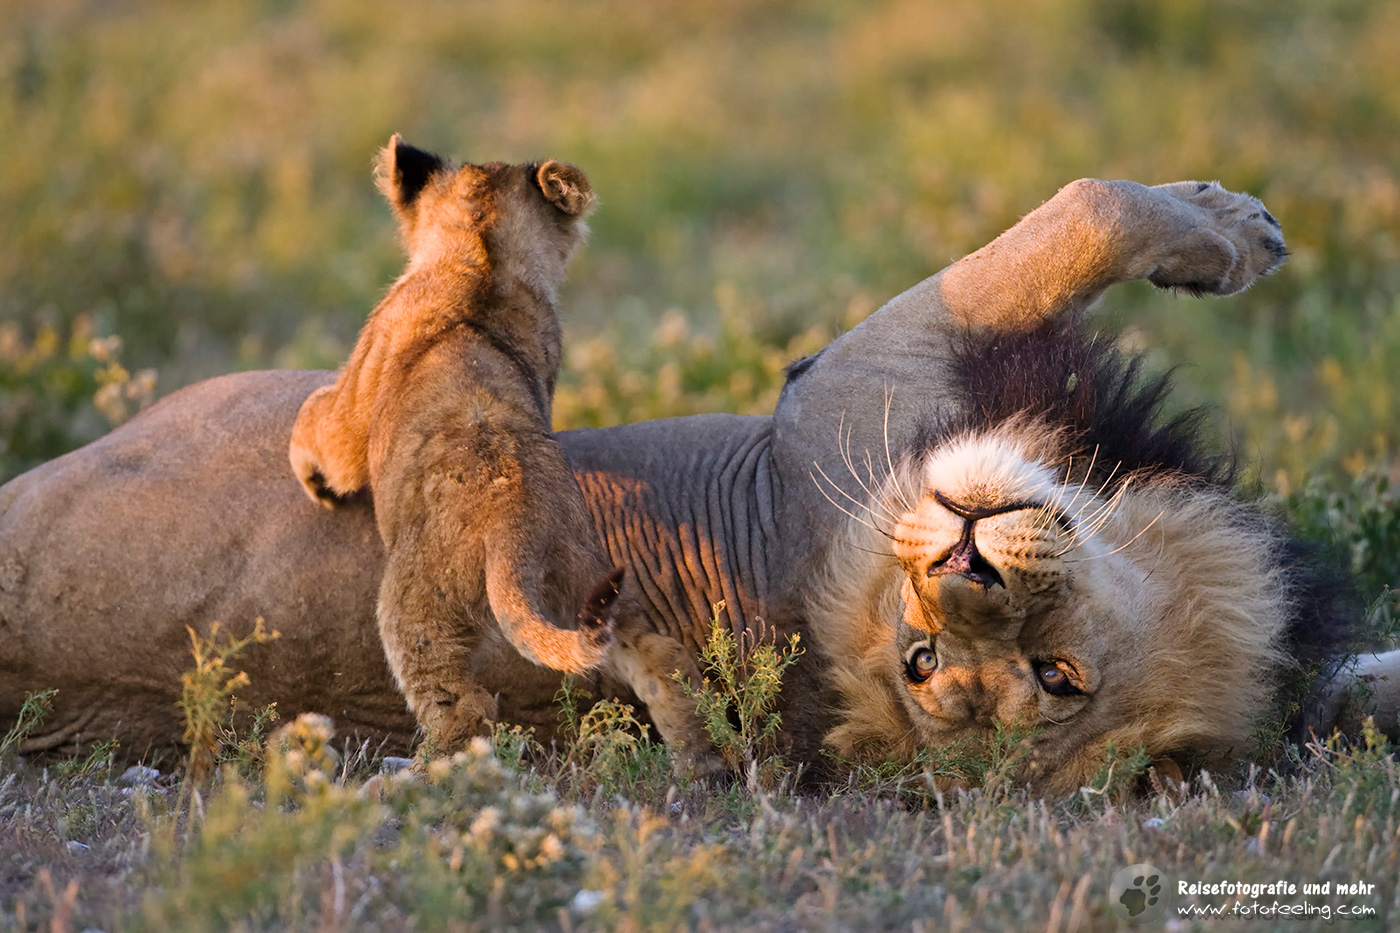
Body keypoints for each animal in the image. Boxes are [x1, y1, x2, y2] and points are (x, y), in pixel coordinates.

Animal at [1, 176, 1396, 790]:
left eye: (1051, 677)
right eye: (924, 661)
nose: (962, 553)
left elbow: (1085, 208)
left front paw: (1228, 231)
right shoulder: (860, 379)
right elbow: (1086, 207)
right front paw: (1234, 231)